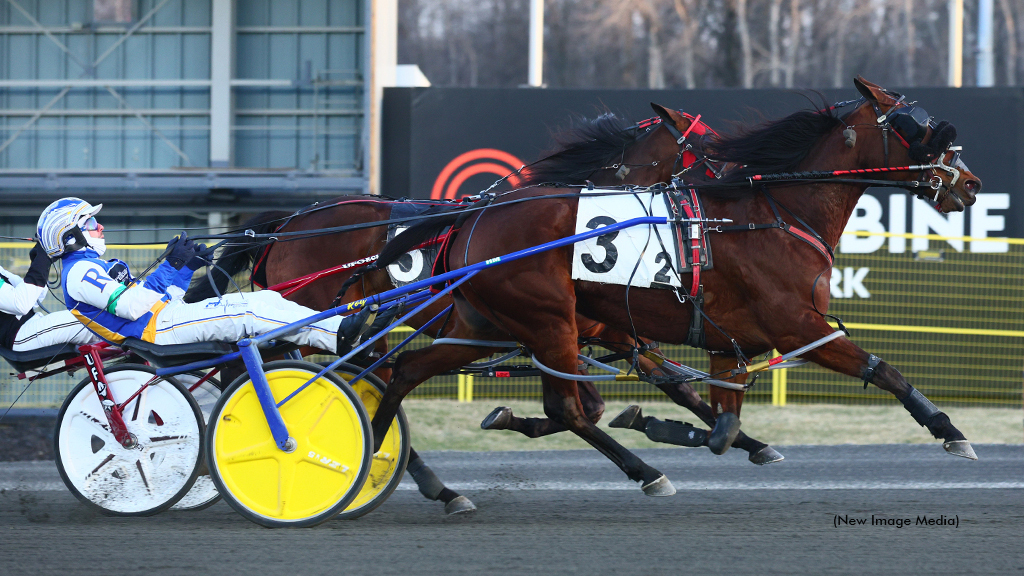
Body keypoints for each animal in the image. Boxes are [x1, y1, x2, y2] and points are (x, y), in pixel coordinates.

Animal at [366, 77, 983, 494]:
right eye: (920, 127)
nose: (970, 184)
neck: (776, 212)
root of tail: (473, 217)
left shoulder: (729, 343)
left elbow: (720, 426)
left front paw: (662, 423)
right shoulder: (796, 327)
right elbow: (883, 370)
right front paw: (949, 429)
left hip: (485, 324)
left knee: (405, 371)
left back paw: (381, 451)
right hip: (547, 322)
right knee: (565, 409)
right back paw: (645, 472)